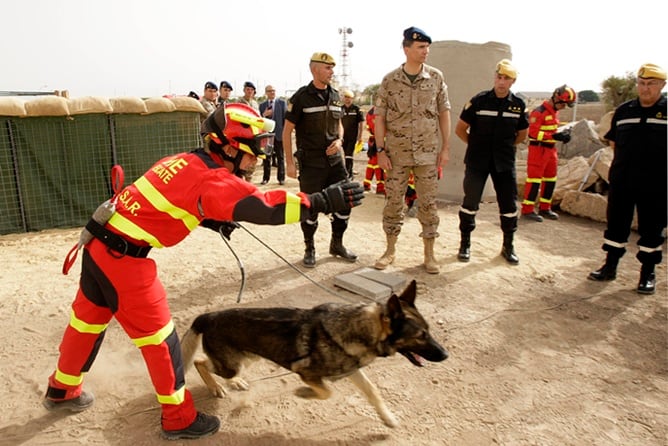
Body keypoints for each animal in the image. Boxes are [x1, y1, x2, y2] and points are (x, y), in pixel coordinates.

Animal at [180, 280, 446, 426]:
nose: (445, 355)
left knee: (211, 363)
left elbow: (373, 392)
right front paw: (304, 393)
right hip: (231, 363)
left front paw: (388, 418)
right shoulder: (306, 373)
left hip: (246, 358)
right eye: (420, 335)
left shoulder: (353, 371)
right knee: (201, 361)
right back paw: (217, 387)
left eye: (428, 331)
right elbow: (327, 392)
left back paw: (235, 382)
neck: (358, 329)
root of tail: (208, 316)